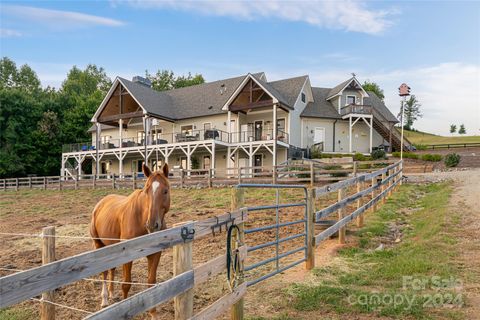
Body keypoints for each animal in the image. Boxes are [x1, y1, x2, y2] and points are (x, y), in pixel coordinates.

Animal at [90, 164, 171, 318]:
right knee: (104, 272)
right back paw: (104, 299)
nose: (152, 225)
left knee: (112, 269)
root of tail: (100, 204)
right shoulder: (128, 255)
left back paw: (111, 294)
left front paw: (153, 314)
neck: (141, 217)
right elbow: (126, 284)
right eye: (146, 191)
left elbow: (151, 283)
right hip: (99, 245)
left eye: (165, 191)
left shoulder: (155, 254)